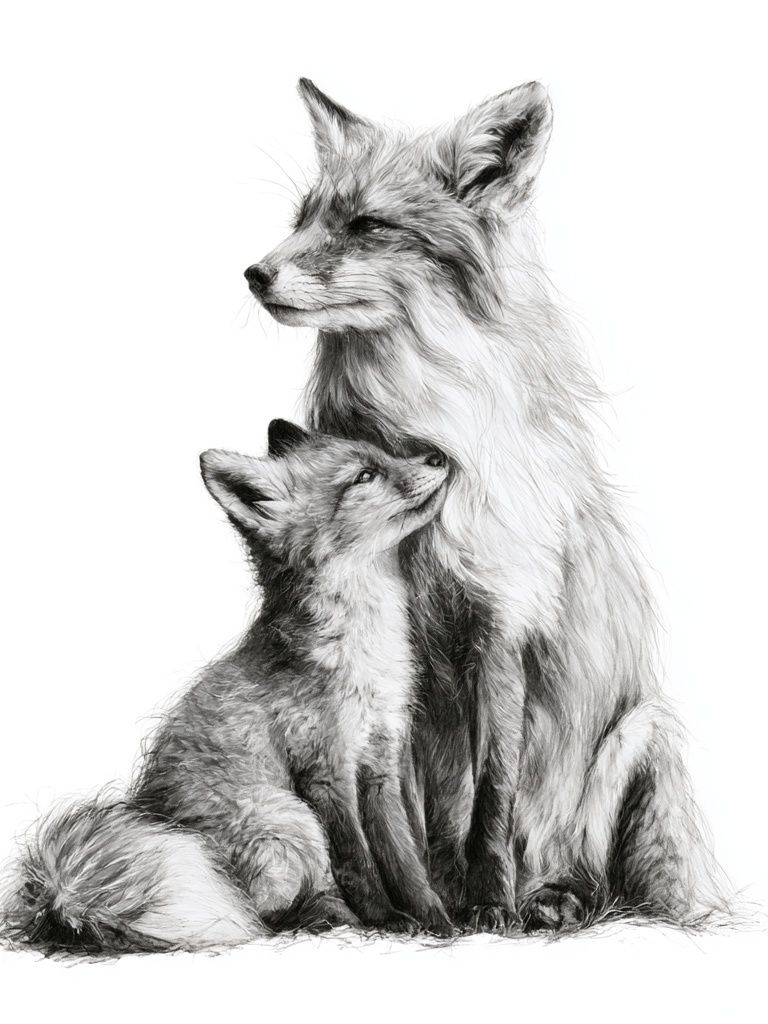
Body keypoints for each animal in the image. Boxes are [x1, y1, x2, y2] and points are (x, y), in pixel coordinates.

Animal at [2, 420, 453, 954]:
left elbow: (404, 859)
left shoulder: (381, 761)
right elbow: (358, 863)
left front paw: (436, 918)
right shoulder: (325, 770)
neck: (366, 655)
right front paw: (388, 920)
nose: (440, 457)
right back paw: (330, 916)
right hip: (289, 820)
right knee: (265, 914)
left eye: (382, 454)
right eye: (364, 474)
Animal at [243, 79, 730, 930]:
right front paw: (429, 902)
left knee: (615, 883)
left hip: (645, 735)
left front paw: (489, 903)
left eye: (366, 226)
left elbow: (493, 792)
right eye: (302, 217)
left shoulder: (500, 625)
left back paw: (550, 899)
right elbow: (416, 804)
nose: (254, 273)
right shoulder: (406, 659)